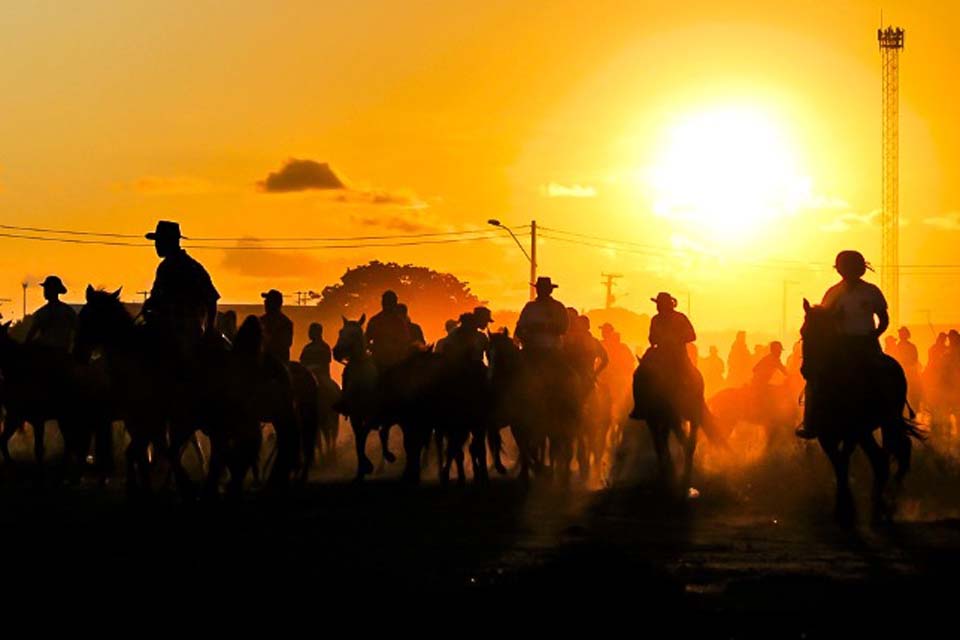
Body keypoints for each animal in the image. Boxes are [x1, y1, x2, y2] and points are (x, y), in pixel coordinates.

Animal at [796, 302, 924, 524]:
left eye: (826, 334)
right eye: (804, 332)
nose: (808, 370)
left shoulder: (852, 433)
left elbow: (844, 461)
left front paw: (846, 510)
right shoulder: (826, 435)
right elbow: (838, 465)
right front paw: (843, 509)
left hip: (886, 422)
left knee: (893, 453)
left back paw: (887, 503)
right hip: (871, 431)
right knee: (883, 457)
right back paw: (880, 504)